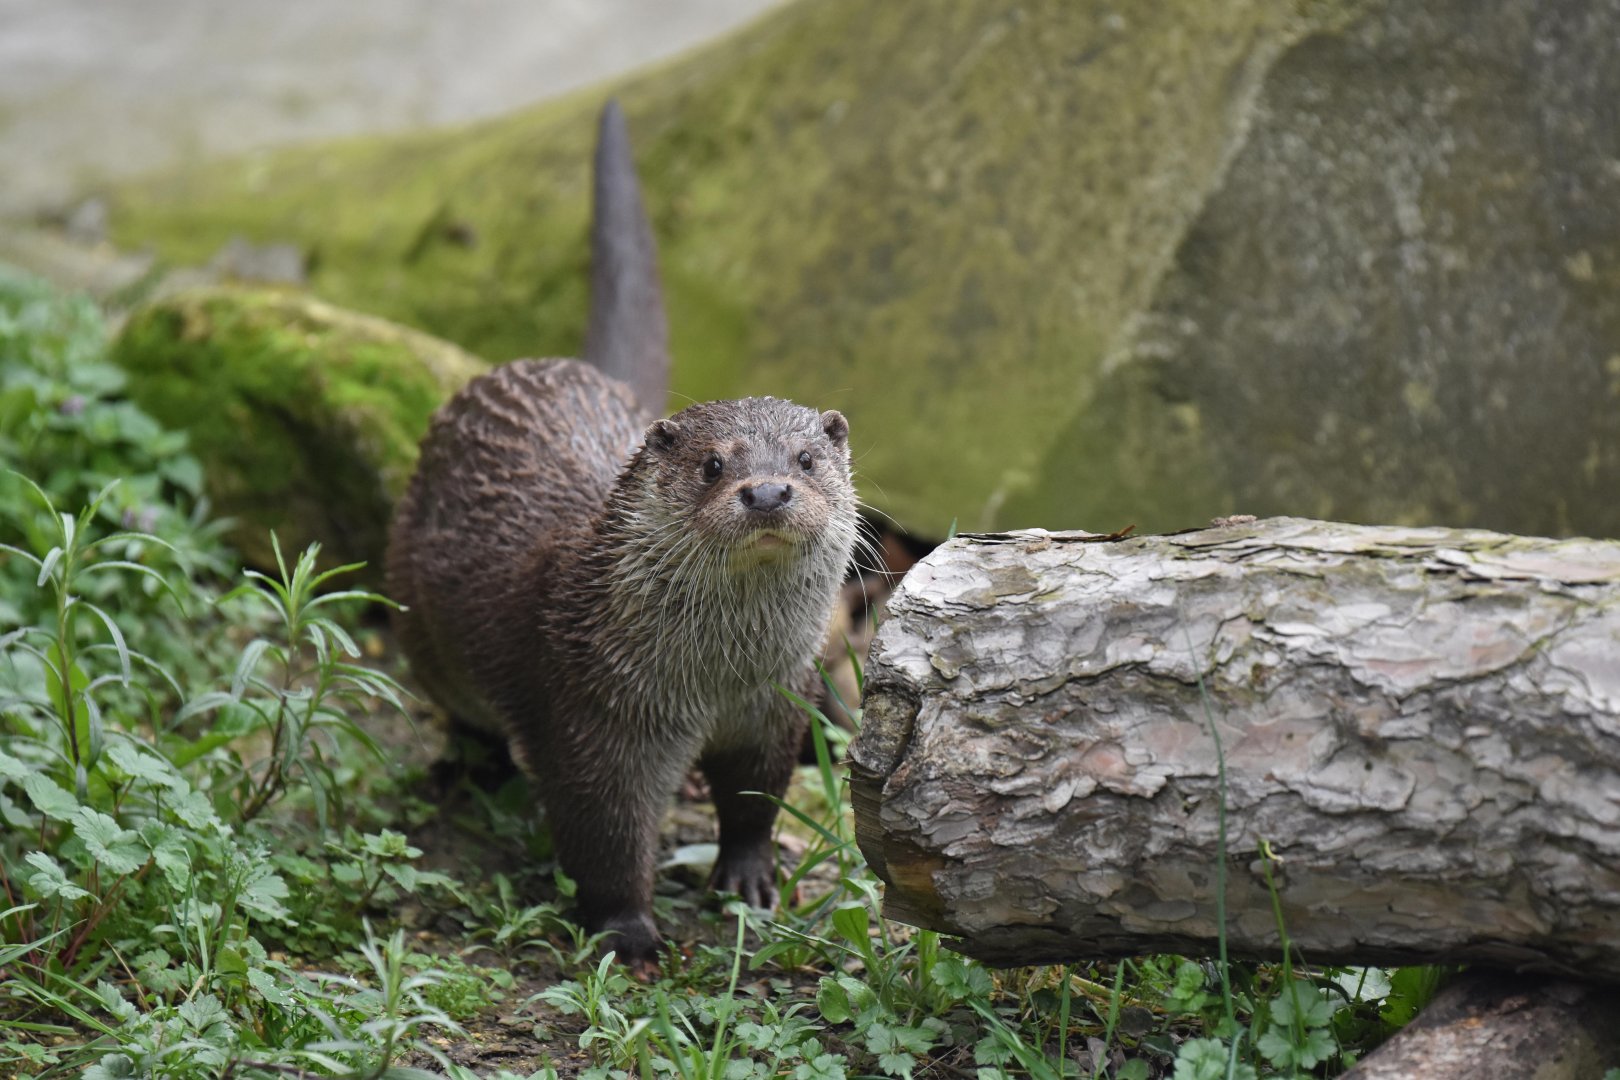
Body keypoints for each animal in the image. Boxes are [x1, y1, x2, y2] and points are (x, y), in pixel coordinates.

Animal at [386, 101, 858, 967]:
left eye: (807, 459)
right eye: (712, 463)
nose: (768, 491)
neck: (713, 676)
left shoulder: (773, 701)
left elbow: (757, 798)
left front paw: (748, 879)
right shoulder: (594, 714)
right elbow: (602, 833)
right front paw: (628, 930)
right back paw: (465, 770)